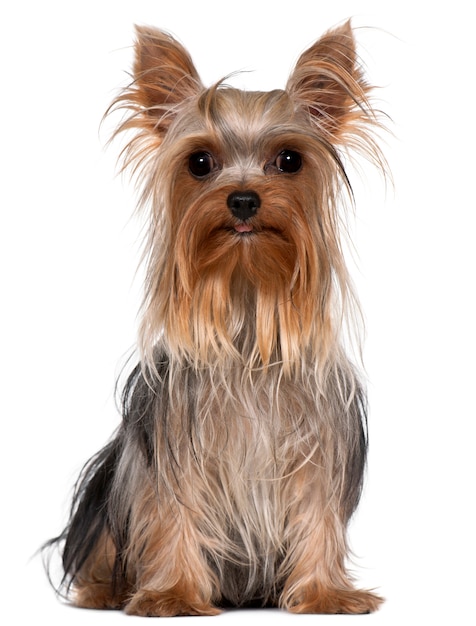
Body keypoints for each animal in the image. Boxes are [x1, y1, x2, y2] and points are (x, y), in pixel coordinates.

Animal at [45, 20, 386, 616]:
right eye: (199, 162)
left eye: (290, 160)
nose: (244, 199)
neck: (246, 311)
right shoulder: (172, 449)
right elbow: (172, 511)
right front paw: (172, 594)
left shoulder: (319, 445)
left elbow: (317, 512)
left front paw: (325, 593)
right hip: (112, 486)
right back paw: (107, 589)